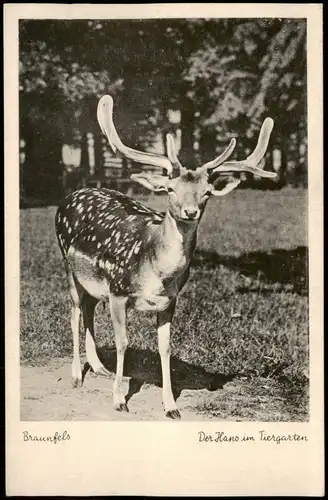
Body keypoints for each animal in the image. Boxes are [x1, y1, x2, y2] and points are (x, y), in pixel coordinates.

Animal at [55, 94, 276, 418]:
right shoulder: (118, 291)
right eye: (170, 189)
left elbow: (166, 348)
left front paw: (171, 406)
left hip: (94, 282)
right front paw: (119, 400)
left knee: (89, 308)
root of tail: (71, 196)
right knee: (73, 312)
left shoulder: (169, 301)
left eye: (206, 192)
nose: (190, 211)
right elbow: (122, 343)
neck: (157, 273)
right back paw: (75, 376)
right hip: (68, 266)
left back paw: (98, 367)